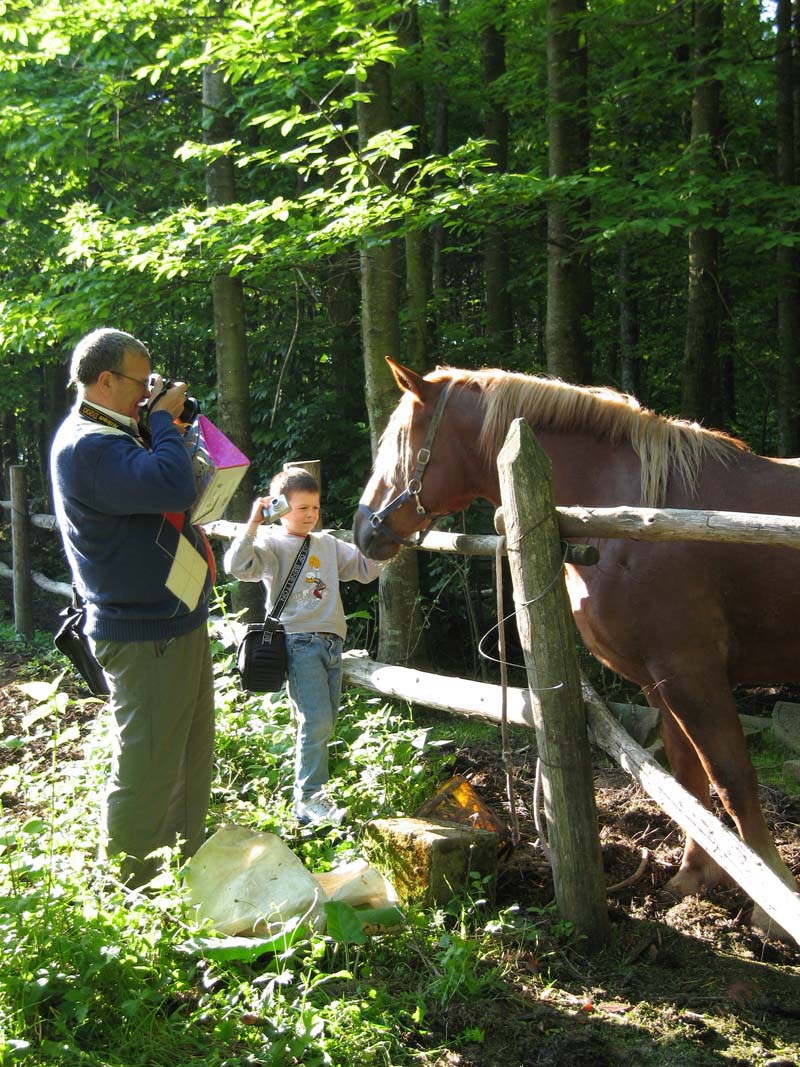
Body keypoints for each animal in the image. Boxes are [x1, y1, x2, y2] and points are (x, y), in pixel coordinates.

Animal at [356, 356, 800, 934]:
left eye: (400, 439)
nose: (363, 530)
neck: (632, 511)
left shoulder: (692, 672)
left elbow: (732, 781)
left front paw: (771, 908)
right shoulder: (660, 682)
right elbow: (688, 780)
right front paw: (691, 879)